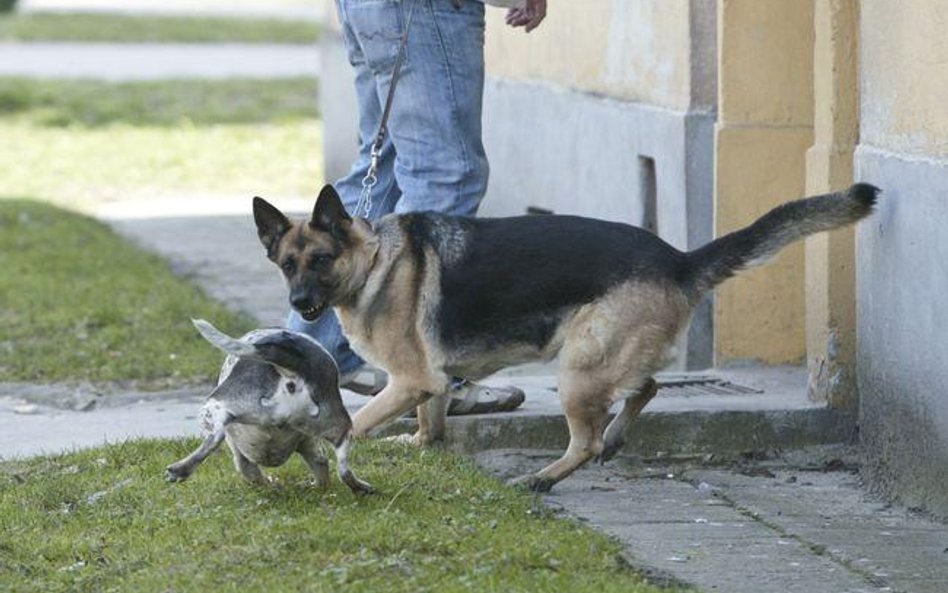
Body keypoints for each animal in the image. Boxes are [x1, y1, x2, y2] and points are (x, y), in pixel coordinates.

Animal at [165, 316, 372, 492]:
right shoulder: (313, 445)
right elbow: (322, 467)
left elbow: (250, 472)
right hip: (339, 424)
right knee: (343, 468)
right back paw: (361, 487)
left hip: (215, 405)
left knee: (215, 437)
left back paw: (180, 470)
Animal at [254, 184, 880, 490]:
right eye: (287, 265)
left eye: (321, 260)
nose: (300, 306)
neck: (373, 259)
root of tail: (678, 260)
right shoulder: (428, 381)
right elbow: (430, 425)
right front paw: (418, 445)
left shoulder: (411, 379)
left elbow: (354, 421)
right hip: (599, 360)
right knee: (643, 389)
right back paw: (617, 437)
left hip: (576, 370)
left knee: (589, 440)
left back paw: (543, 479)